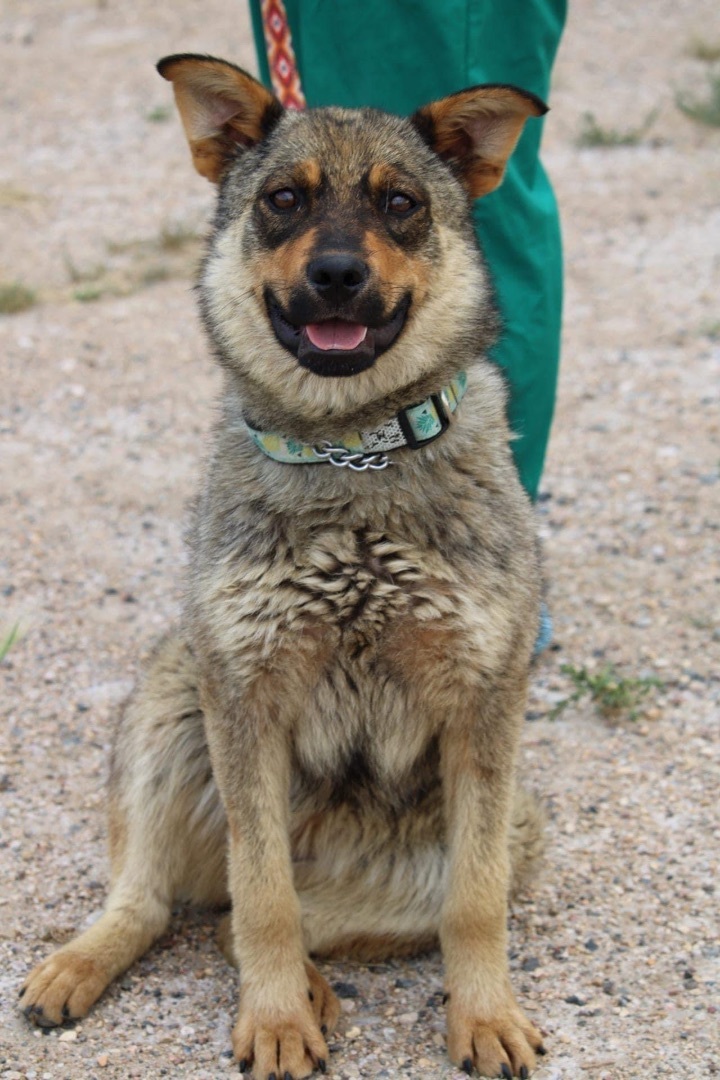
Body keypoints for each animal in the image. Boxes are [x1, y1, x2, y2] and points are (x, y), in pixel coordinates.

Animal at [23, 52, 552, 1080]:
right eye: (282, 200)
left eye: (400, 205)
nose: (337, 273)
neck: (353, 457)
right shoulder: (247, 699)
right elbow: (261, 899)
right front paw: (270, 1020)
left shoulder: (484, 707)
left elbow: (473, 907)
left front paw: (485, 1016)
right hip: (173, 703)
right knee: (177, 900)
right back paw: (92, 964)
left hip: (505, 829)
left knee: (290, 915)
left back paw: (315, 983)